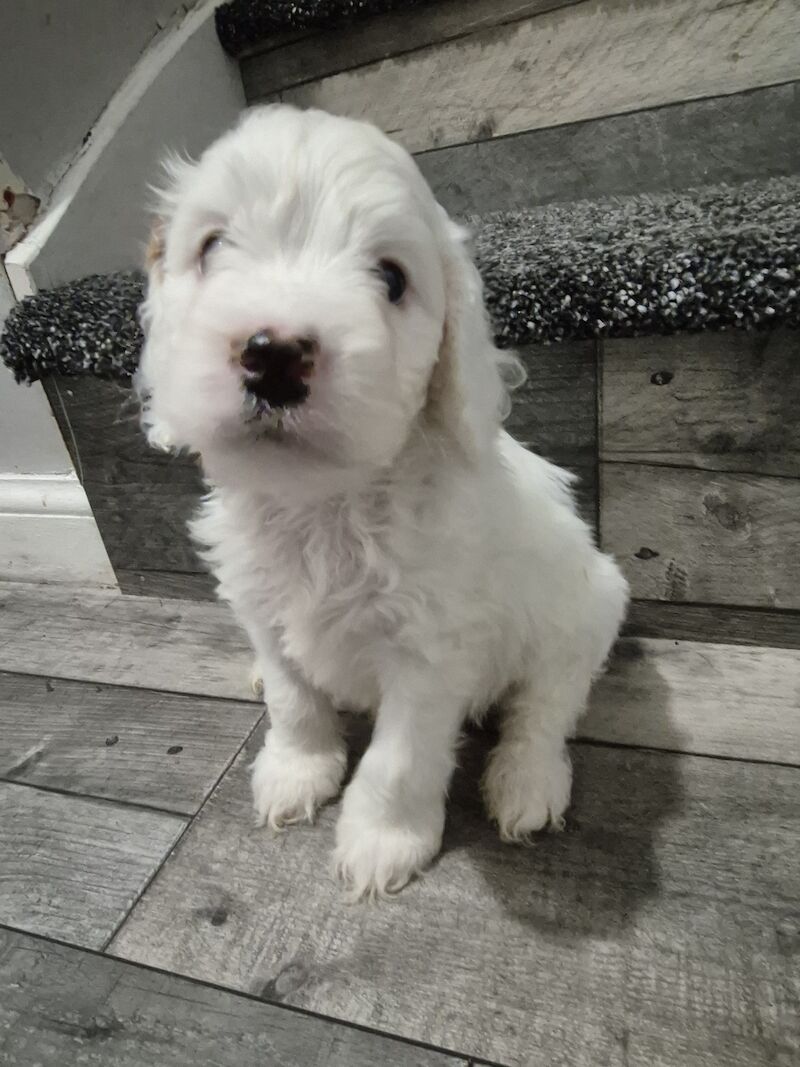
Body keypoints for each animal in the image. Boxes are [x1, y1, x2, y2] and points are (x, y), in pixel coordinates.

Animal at [137, 106, 631, 900]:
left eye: (393, 279)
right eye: (210, 247)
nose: (274, 354)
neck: (323, 503)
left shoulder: (430, 653)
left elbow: (399, 757)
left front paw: (381, 842)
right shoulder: (260, 602)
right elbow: (293, 697)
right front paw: (296, 770)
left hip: (584, 608)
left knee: (547, 703)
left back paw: (526, 782)